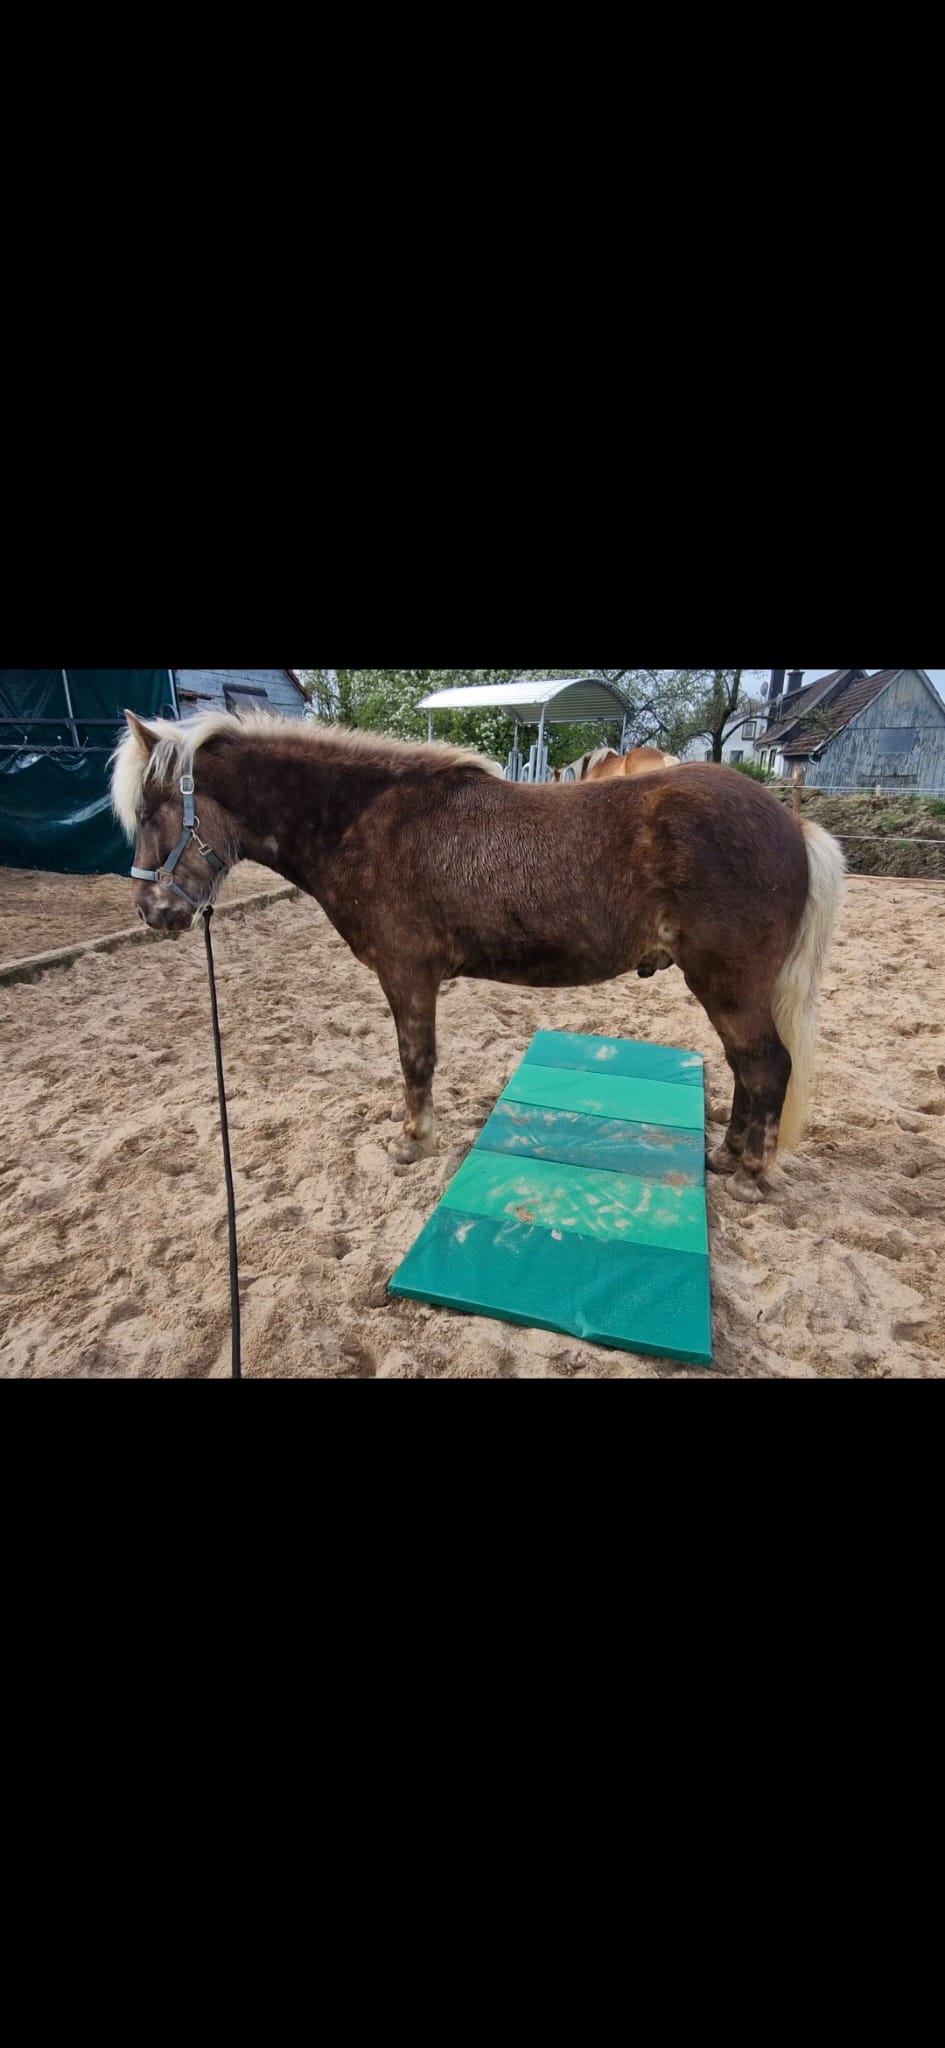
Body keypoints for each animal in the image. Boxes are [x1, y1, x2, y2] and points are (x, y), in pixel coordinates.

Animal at [113, 710, 845, 1199]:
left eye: (150, 812)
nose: (151, 912)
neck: (364, 822)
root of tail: (792, 822)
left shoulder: (406, 973)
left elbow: (416, 1060)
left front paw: (413, 1142)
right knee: (748, 1068)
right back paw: (724, 1159)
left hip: (728, 983)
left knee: (767, 1067)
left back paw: (749, 1175)